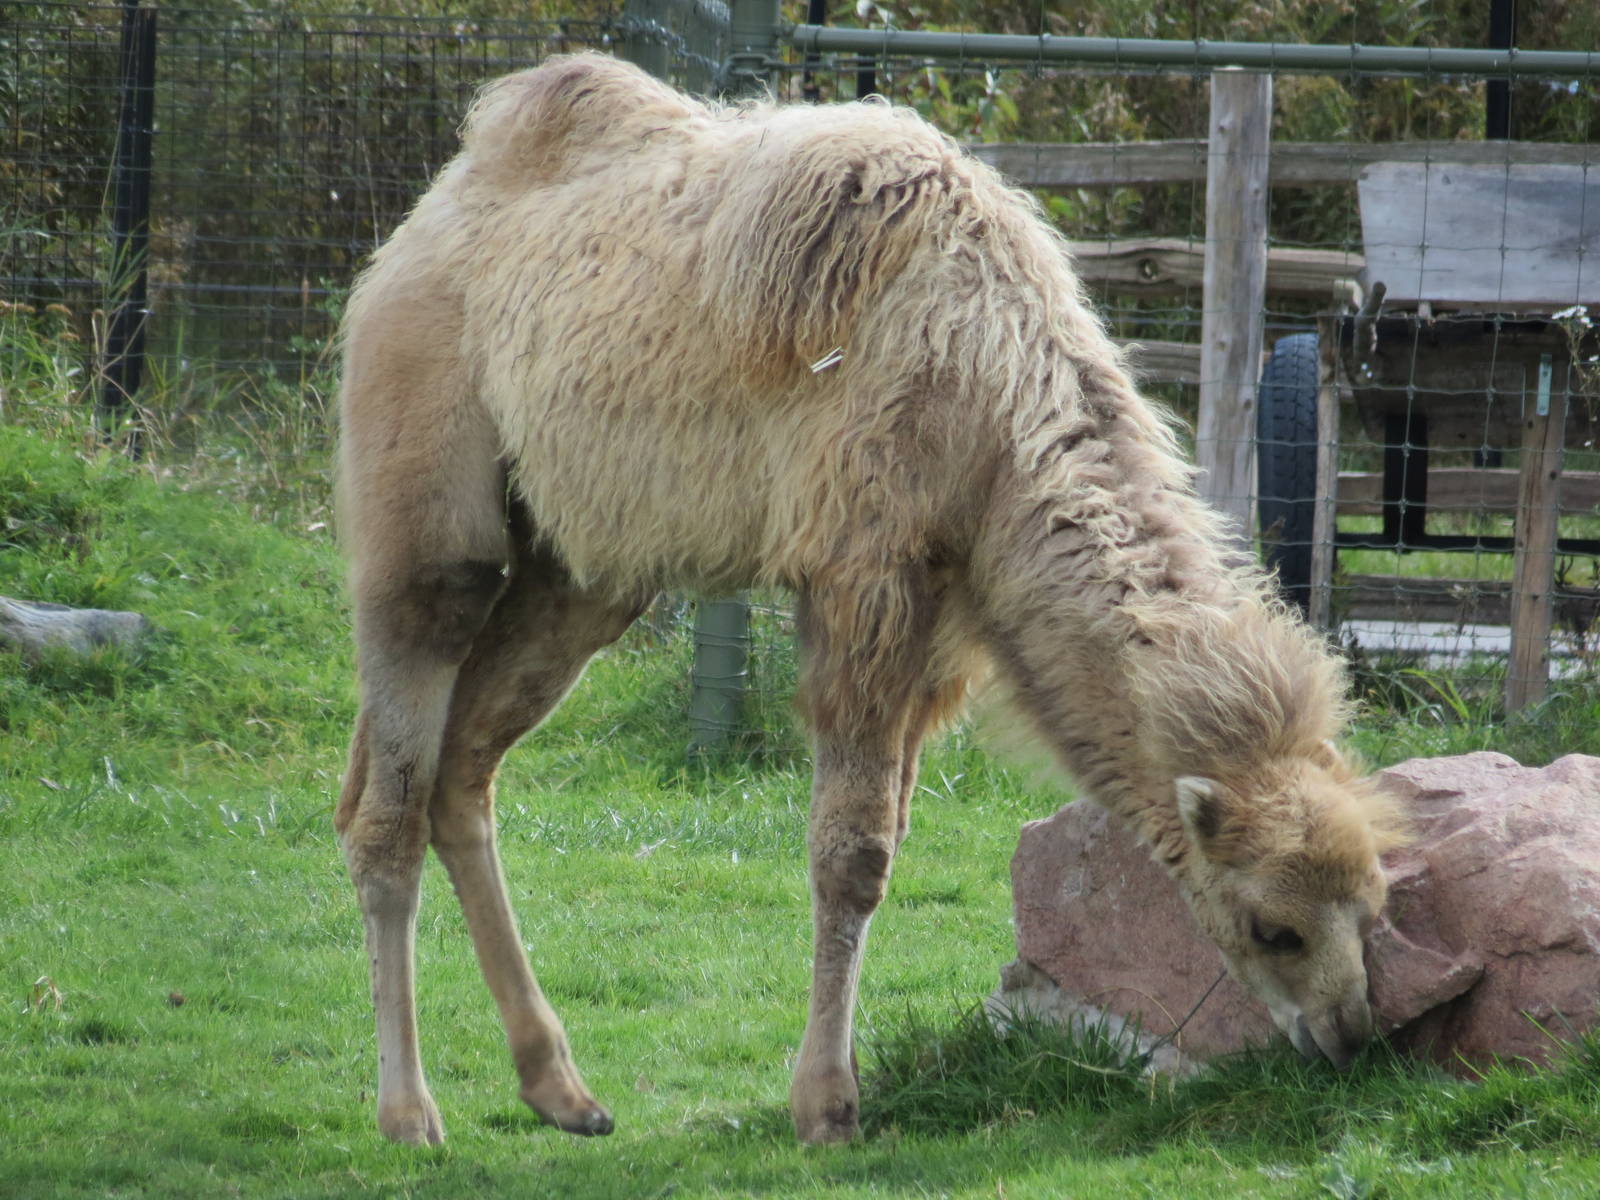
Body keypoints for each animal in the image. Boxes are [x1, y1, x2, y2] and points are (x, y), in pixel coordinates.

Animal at [334, 53, 1404, 1146]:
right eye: (1273, 928)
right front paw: (826, 1104)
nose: (1348, 1036)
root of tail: (416, 229)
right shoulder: (862, 574)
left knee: (461, 772)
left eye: (1375, 908)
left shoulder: (941, 625)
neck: (990, 391)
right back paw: (408, 1113)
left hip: (582, 572)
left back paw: (560, 1089)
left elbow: (885, 842)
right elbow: (851, 855)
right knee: (390, 790)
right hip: (423, 489)